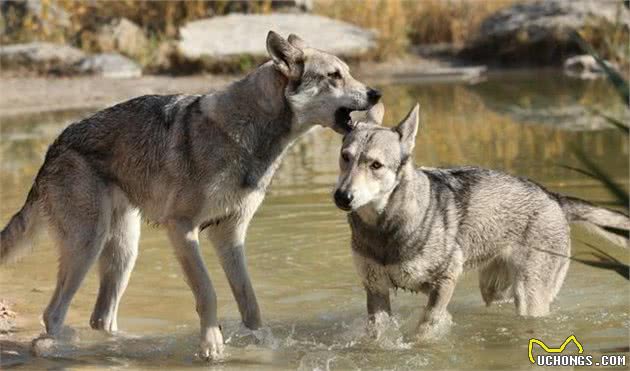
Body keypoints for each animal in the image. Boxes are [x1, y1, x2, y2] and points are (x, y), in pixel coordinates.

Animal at [0, 32, 380, 360]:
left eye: (348, 72)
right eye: (334, 75)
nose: (376, 93)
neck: (248, 136)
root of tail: (54, 147)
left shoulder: (230, 235)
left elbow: (250, 304)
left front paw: (264, 347)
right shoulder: (182, 229)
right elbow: (208, 293)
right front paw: (212, 347)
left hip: (124, 251)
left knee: (100, 318)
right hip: (87, 245)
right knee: (53, 314)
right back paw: (60, 349)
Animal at [334, 103, 628, 342]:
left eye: (375, 165)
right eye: (345, 157)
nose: (342, 196)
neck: (383, 229)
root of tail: (553, 197)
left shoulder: (446, 279)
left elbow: (426, 326)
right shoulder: (375, 288)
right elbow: (378, 333)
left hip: (529, 297)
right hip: (495, 290)